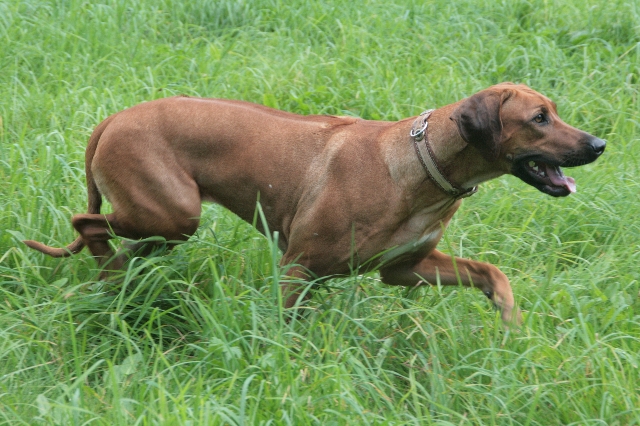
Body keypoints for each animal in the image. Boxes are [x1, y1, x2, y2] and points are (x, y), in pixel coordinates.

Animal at [24, 83, 605, 323]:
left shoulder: (405, 268)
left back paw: (116, 285)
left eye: (554, 111)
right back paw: (108, 279)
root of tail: (112, 120)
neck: (421, 167)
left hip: (163, 227)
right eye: (538, 119)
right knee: (87, 221)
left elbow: (491, 273)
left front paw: (511, 321)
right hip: (172, 213)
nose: (599, 145)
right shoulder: (297, 267)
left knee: (111, 241)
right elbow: (285, 331)